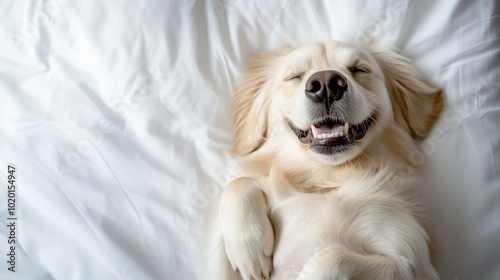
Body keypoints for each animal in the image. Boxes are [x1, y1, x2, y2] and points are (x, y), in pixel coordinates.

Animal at [205, 40, 444, 280]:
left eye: (359, 69)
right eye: (294, 76)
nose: (326, 84)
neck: (324, 180)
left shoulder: (410, 258)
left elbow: (330, 257)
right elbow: (239, 182)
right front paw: (249, 250)